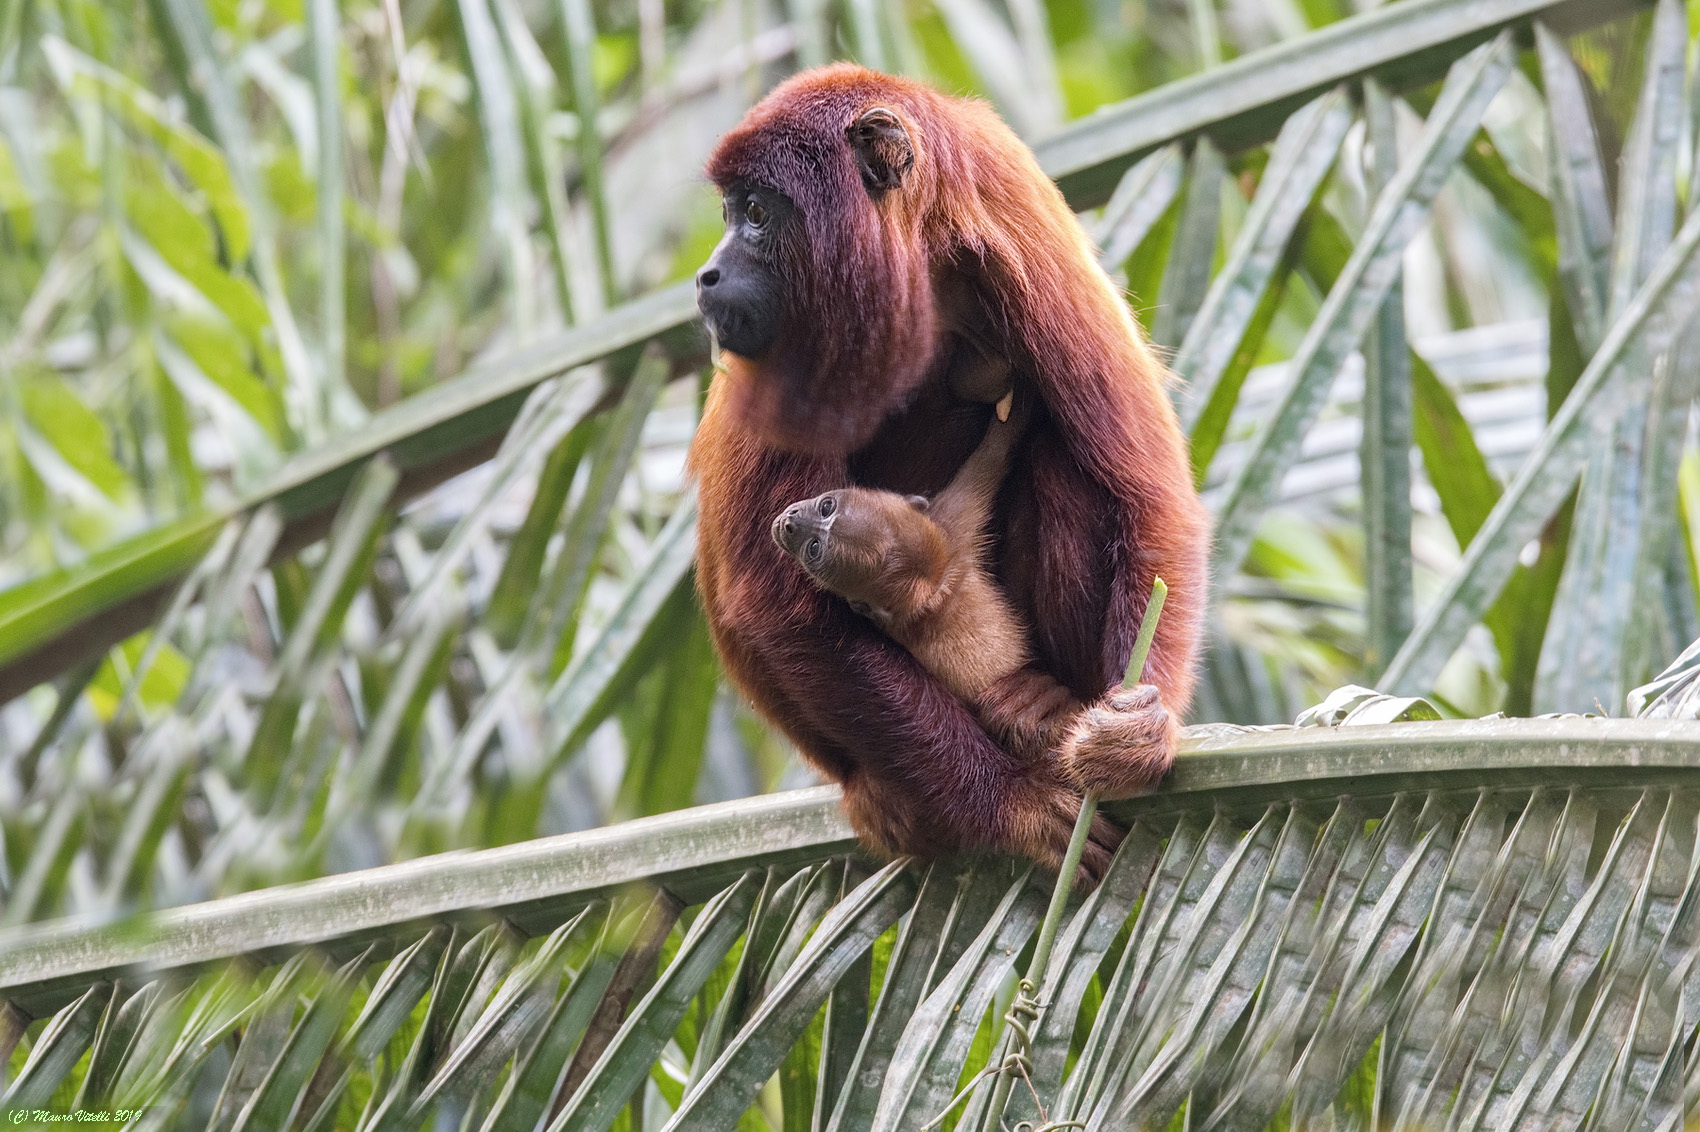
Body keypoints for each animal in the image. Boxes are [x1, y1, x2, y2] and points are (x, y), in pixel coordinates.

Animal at [689, 65, 1209, 881]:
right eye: (730, 211)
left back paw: (1039, 704)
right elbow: (781, 607)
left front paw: (1135, 734)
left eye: (758, 214)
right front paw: (1010, 805)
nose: (707, 275)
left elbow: (1143, 490)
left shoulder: (1020, 228)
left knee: (1065, 466)